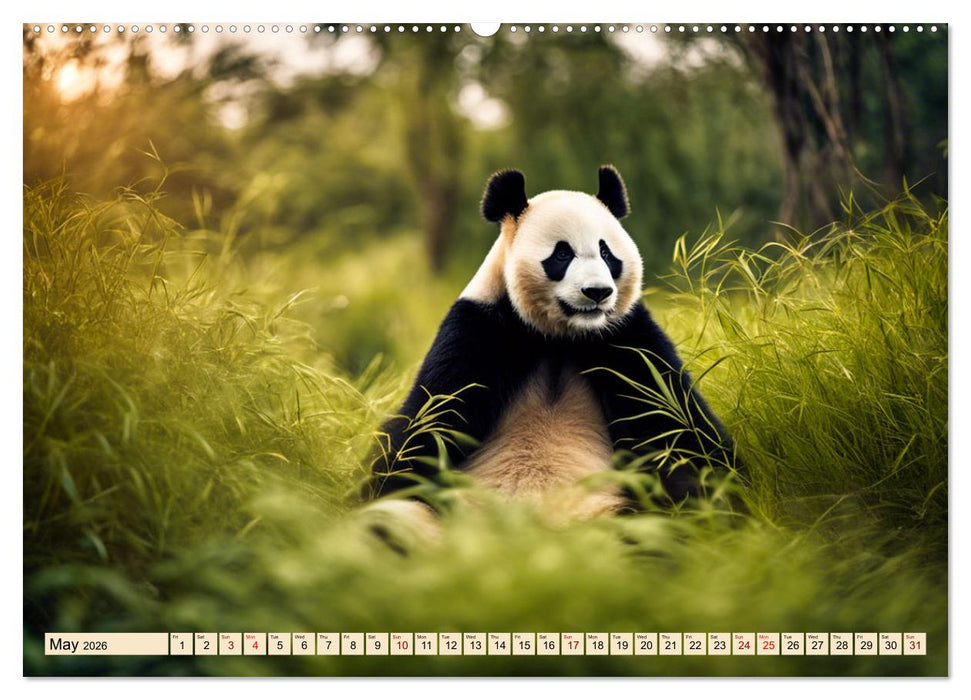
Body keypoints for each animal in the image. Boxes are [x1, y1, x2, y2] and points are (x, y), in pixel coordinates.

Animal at [364, 166, 735, 531]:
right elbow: (425, 426)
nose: (597, 292)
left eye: (606, 253)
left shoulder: (630, 340)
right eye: (562, 254)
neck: (560, 337)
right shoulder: (477, 332)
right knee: (392, 519)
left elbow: (679, 426)